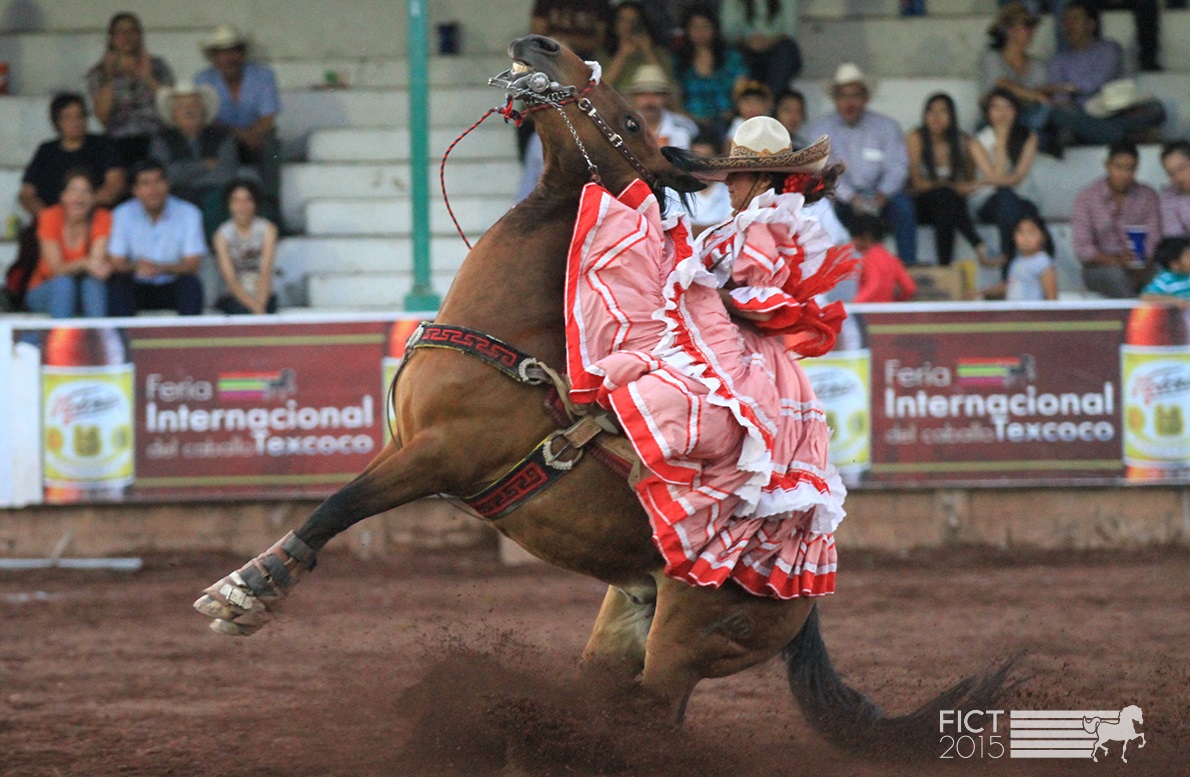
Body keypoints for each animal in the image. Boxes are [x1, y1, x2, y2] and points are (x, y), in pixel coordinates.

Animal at [192, 37, 1004, 752]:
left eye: (636, 120)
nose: (543, 45)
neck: (511, 336)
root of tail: (802, 601)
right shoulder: (404, 444)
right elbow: (339, 498)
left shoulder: (438, 453)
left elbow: (340, 505)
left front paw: (246, 591)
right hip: (624, 623)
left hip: (684, 639)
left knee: (657, 717)